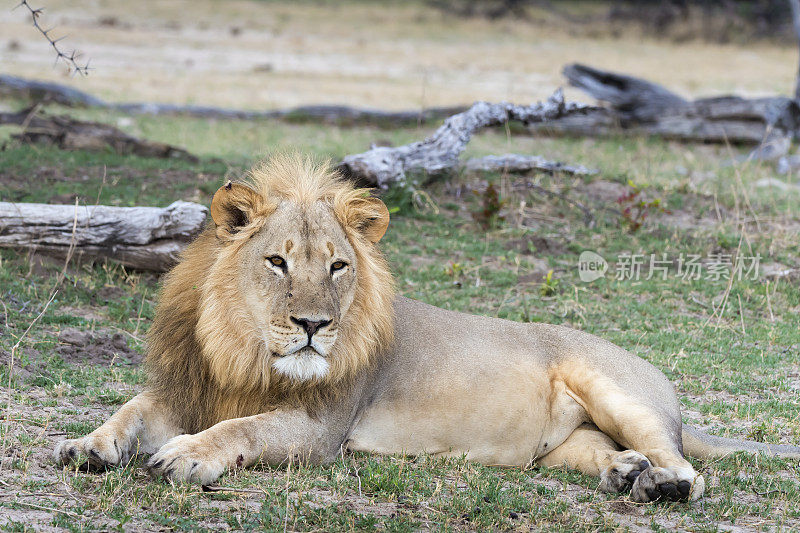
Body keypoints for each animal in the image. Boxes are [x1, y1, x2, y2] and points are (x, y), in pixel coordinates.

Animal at [53, 153, 796, 498]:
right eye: (277, 261)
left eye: (339, 266)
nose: (314, 324)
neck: (242, 347)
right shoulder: (187, 387)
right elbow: (130, 409)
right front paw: (87, 445)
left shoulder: (322, 428)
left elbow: (243, 429)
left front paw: (187, 455)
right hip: (562, 445)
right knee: (599, 451)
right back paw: (623, 471)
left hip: (615, 387)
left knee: (690, 467)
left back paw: (661, 484)